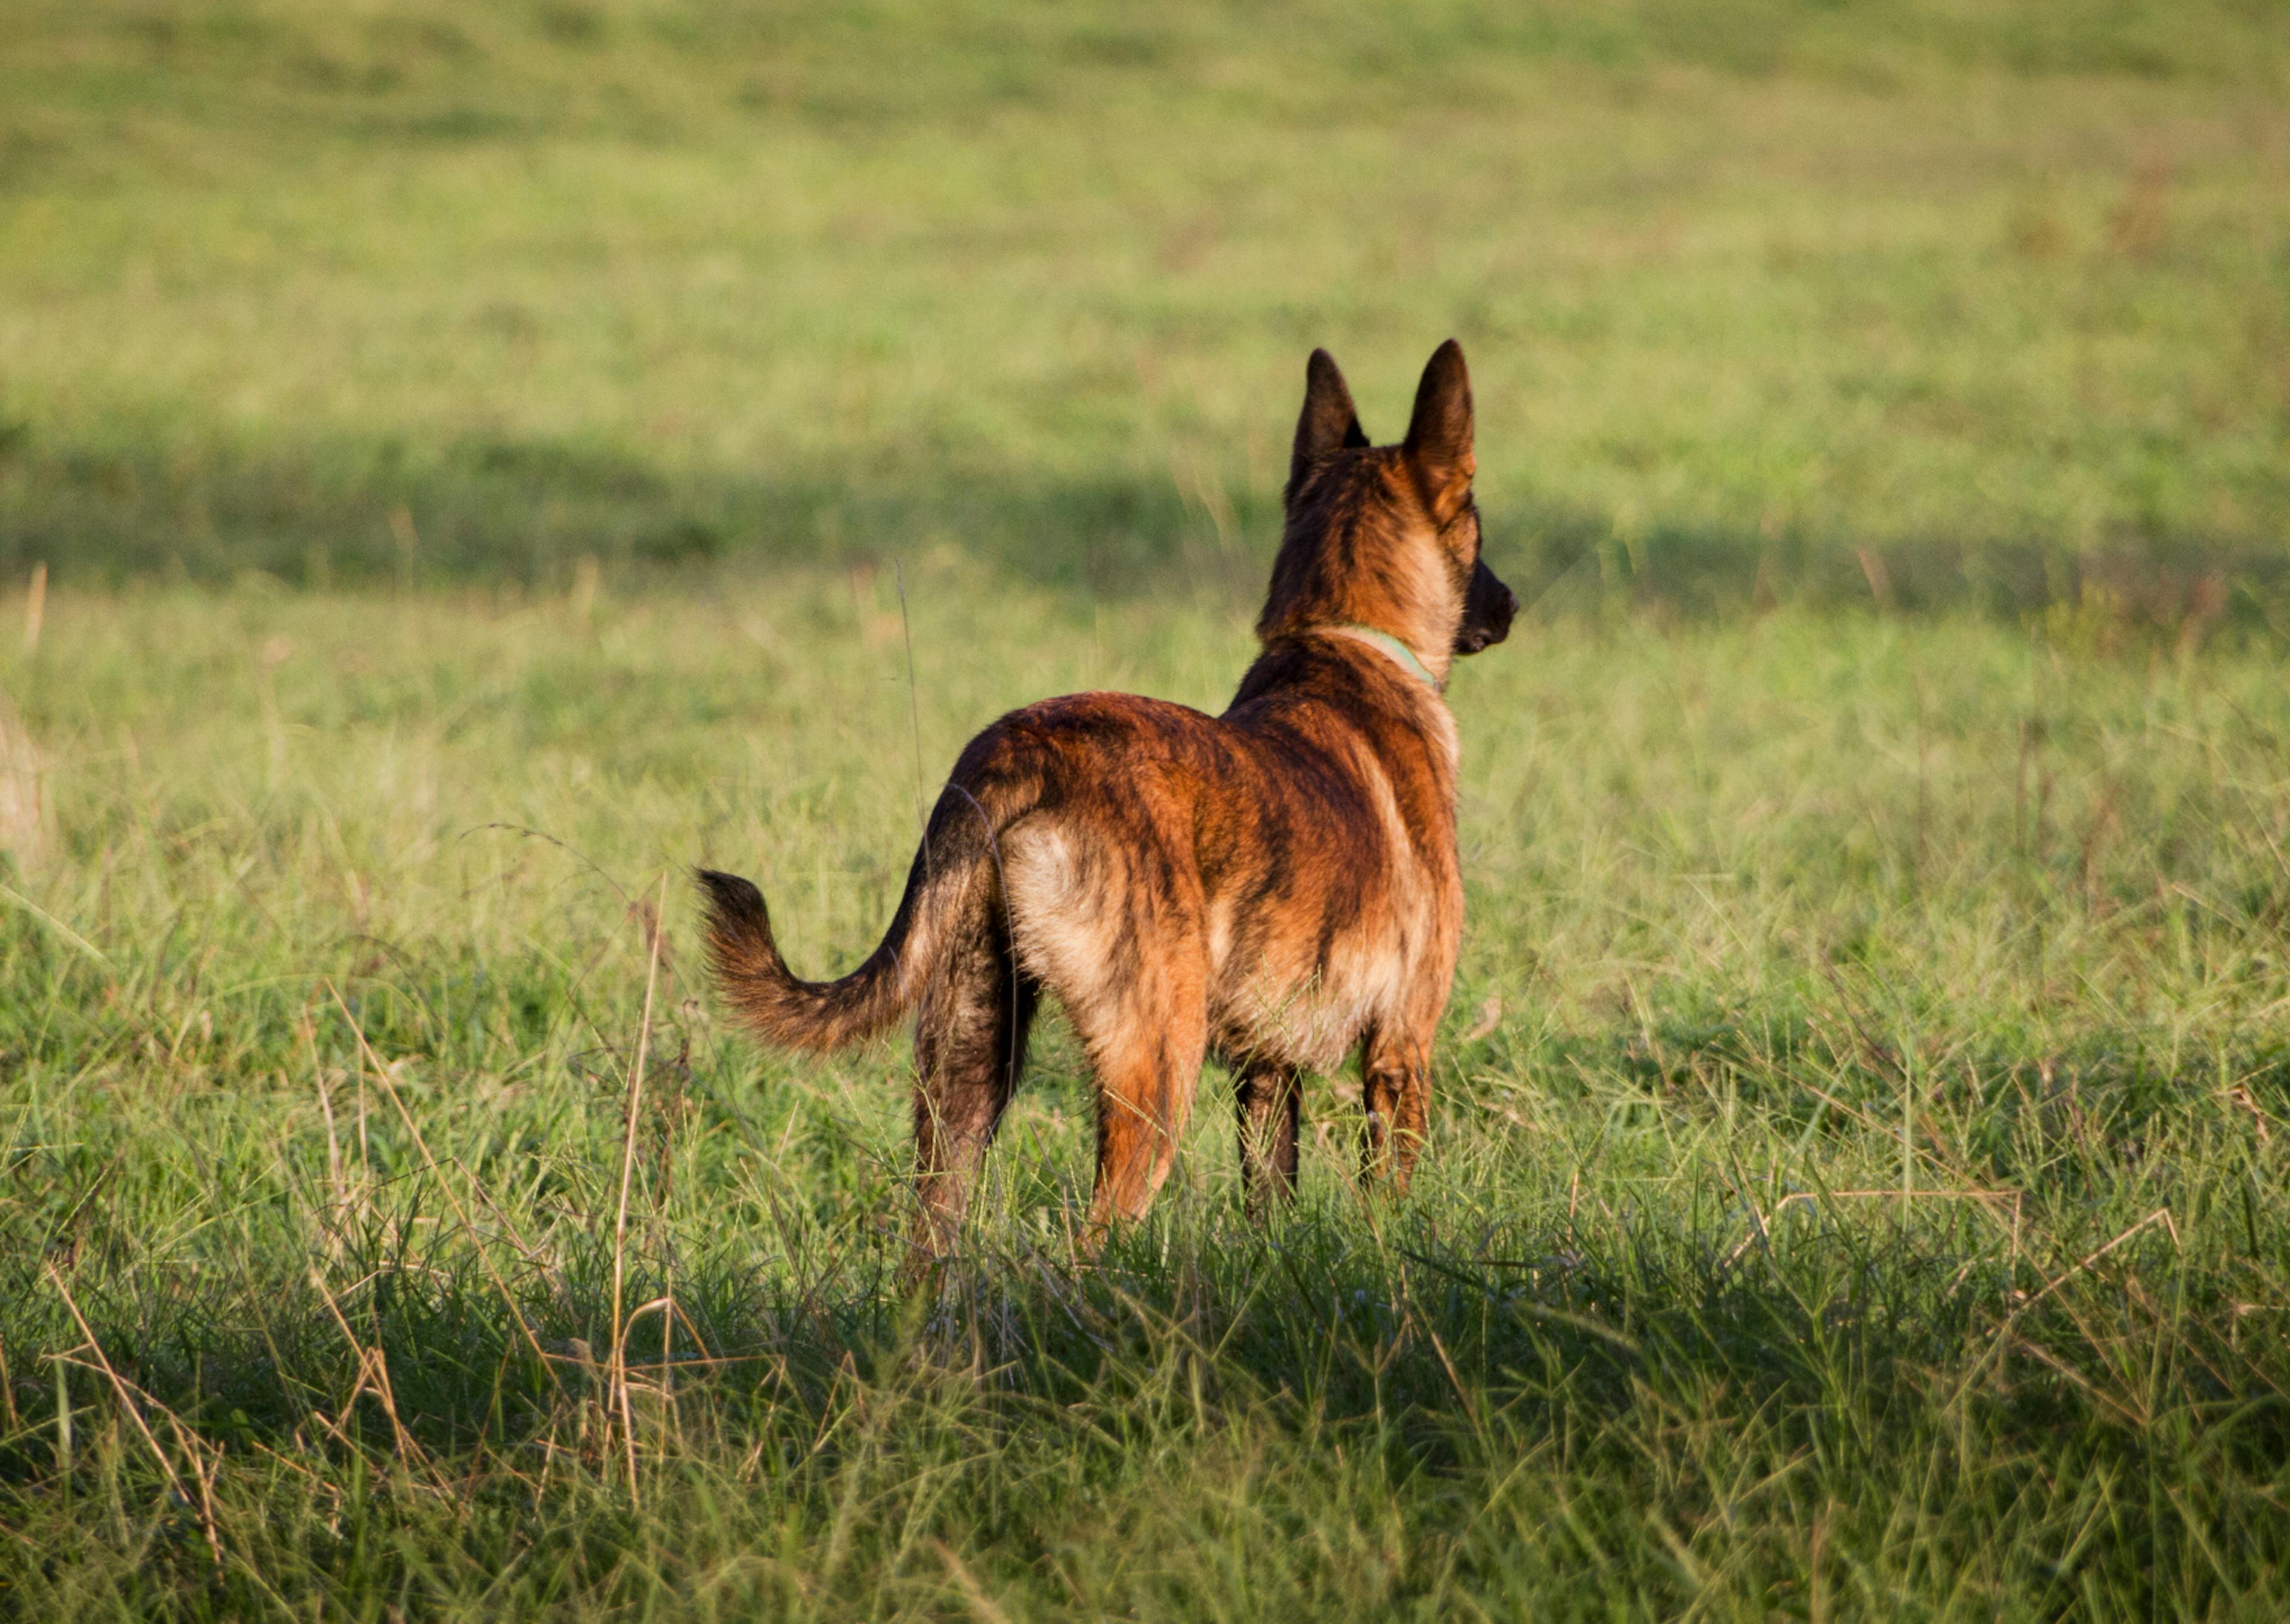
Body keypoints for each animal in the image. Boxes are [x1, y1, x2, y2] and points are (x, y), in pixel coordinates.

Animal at [696, 339, 1520, 1255]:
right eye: (1478, 521)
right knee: (1095, 1236)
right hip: (1154, 1070)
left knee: (934, 1233)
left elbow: (1271, 1197)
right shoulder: (1400, 1050)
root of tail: (1019, 750)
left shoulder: (1267, 1070)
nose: (1512, 605)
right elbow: (1388, 1205)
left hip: (968, 1072)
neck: (1344, 644)